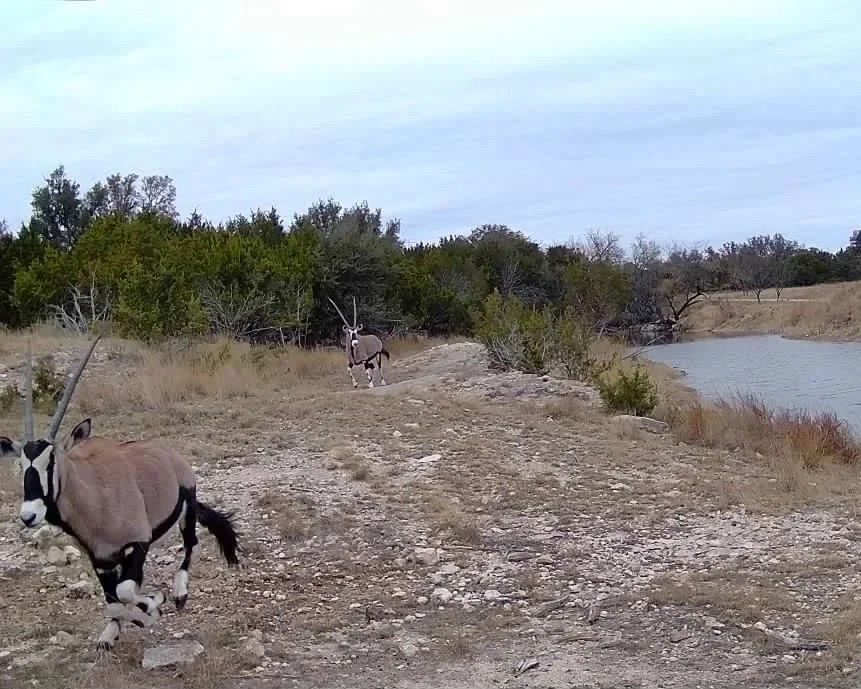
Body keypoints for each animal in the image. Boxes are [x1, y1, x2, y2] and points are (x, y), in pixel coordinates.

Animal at [0, 336, 240, 650]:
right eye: (20, 464)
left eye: (51, 461)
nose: (29, 515)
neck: (93, 498)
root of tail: (168, 454)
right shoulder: (101, 560)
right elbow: (112, 601)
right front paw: (116, 630)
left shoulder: (137, 543)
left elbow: (125, 591)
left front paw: (155, 604)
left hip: (186, 507)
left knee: (192, 545)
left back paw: (178, 593)